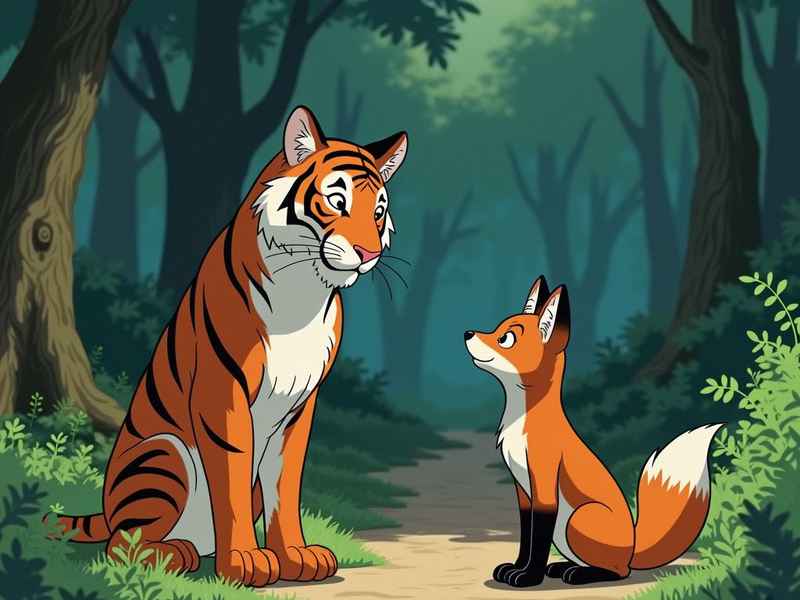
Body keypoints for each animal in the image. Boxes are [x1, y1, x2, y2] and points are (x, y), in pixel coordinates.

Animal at [50, 106, 408, 586]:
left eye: (379, 211)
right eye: (338, 201)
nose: (369, 253)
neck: (306, 288)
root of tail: (107, 509)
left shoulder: (301, 405)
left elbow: (285, 482)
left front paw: (296, 556)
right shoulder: (223, 392)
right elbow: (233, 478)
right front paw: (244, 561)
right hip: (163, 453)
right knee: (122, 544)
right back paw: (174, 555)